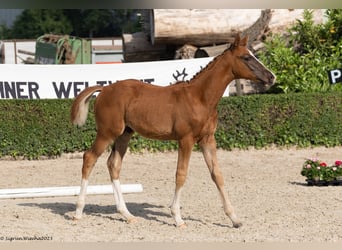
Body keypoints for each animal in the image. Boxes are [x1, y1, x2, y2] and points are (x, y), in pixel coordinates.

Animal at [71, 34, 276, 228]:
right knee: (89, 158)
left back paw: (127, 214)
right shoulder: (186, 140)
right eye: (246, 57)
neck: (200, 98)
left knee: (113, 164)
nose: (272, 76)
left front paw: (234, 219)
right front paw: (177, 217)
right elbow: (181, 174)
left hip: (124, 134)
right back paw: (78, 212)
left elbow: (217, 175)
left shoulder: (208, 139)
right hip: (107, 133)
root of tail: (104, 89)